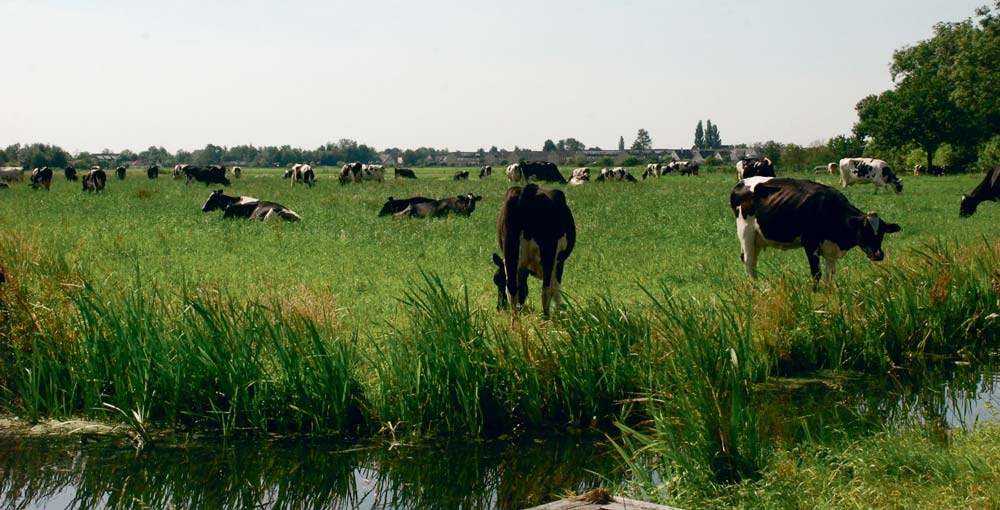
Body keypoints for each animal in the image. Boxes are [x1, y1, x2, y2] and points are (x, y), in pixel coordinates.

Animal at [490, 183, 576, 314]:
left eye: (496, 279)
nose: (499, 308)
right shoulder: (559, 262)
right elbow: (556, 290)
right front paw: (560, 313)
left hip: (511, 253)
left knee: (512, 291)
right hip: (548, 254)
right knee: (546, 291)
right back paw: (547, 317)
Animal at [732, 177, 904, 284]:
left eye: (881, 233)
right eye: (864, 230)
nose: (878, 255)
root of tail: (742, 182)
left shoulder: (831, 247)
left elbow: (830, 274)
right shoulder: (810, 242)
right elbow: (816, 273)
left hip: (758, 239)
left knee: (752, 262)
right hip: (746, 232)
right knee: (748, 261)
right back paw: (755, 289)